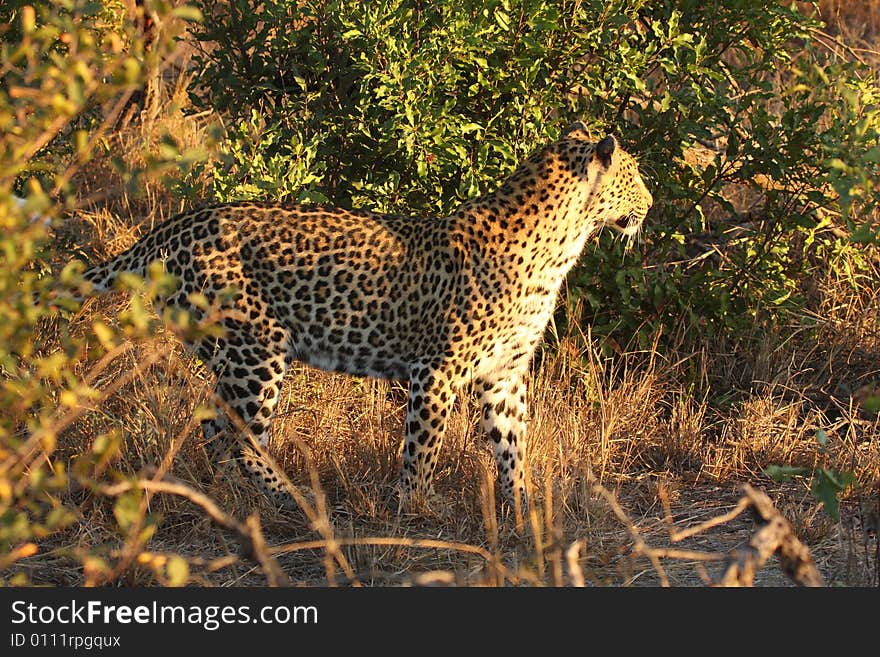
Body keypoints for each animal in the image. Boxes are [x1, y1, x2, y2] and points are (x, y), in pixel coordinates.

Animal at [79, 121, 648, 512]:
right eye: (635, 176)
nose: (649, 203)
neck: (561, 247)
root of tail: (169, 228)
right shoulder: (436, 369)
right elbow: (423, 447)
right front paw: (416, 509)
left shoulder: (505, 372)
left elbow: (513, 444)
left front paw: (523, 508)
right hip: (256, 349)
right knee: (236, 435)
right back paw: (294, 499)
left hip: (236, 355)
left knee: (216, 431)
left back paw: (235, 502)